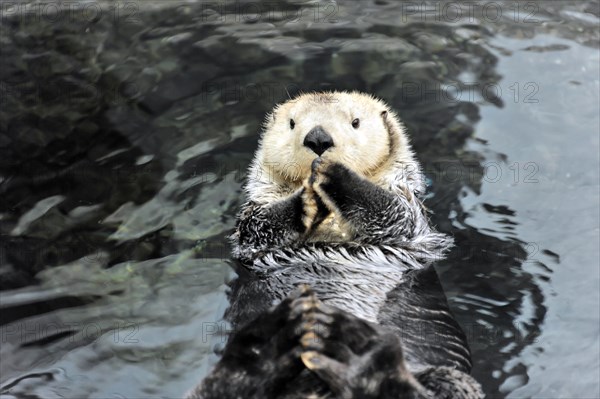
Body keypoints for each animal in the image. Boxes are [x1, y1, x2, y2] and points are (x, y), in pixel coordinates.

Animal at [186, 92, 482, 398]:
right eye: (292, 123)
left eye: (355, 122)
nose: (318, 139)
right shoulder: (250, 225)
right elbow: (258, 227)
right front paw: (303, 202)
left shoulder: (410, 216)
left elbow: (393, 215)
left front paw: (336, 175)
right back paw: (270, 346)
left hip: (446, 377)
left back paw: (355, 354)